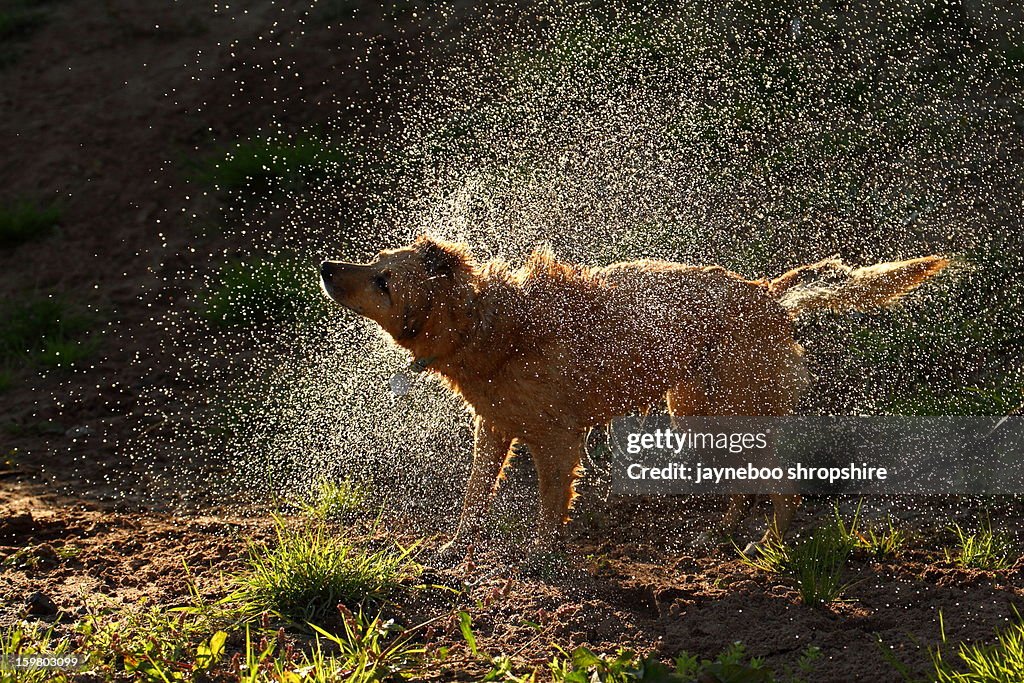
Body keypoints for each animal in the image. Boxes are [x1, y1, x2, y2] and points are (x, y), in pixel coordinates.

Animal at [321, 237, 950, 557]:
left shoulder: (557, 440)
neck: (490, 325)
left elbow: (549, 508)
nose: (326, 264)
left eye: (383, 281)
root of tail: (766, 294)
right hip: (697, 415)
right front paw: (452, 547)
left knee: (784, 483)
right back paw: (722, 533)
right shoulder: (494, 429)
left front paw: (539, 559)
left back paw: (770, 546)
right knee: (751, 481)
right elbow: (475, 494)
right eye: (374, 263)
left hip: (720, 413)